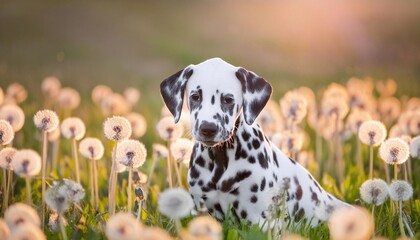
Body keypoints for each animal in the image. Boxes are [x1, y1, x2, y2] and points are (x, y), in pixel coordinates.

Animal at [159, 57, 346, 227]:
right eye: (195, 96)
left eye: (228, 99)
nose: (208, 128)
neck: (220, 161)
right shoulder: (206, 213)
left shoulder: (261, 221)